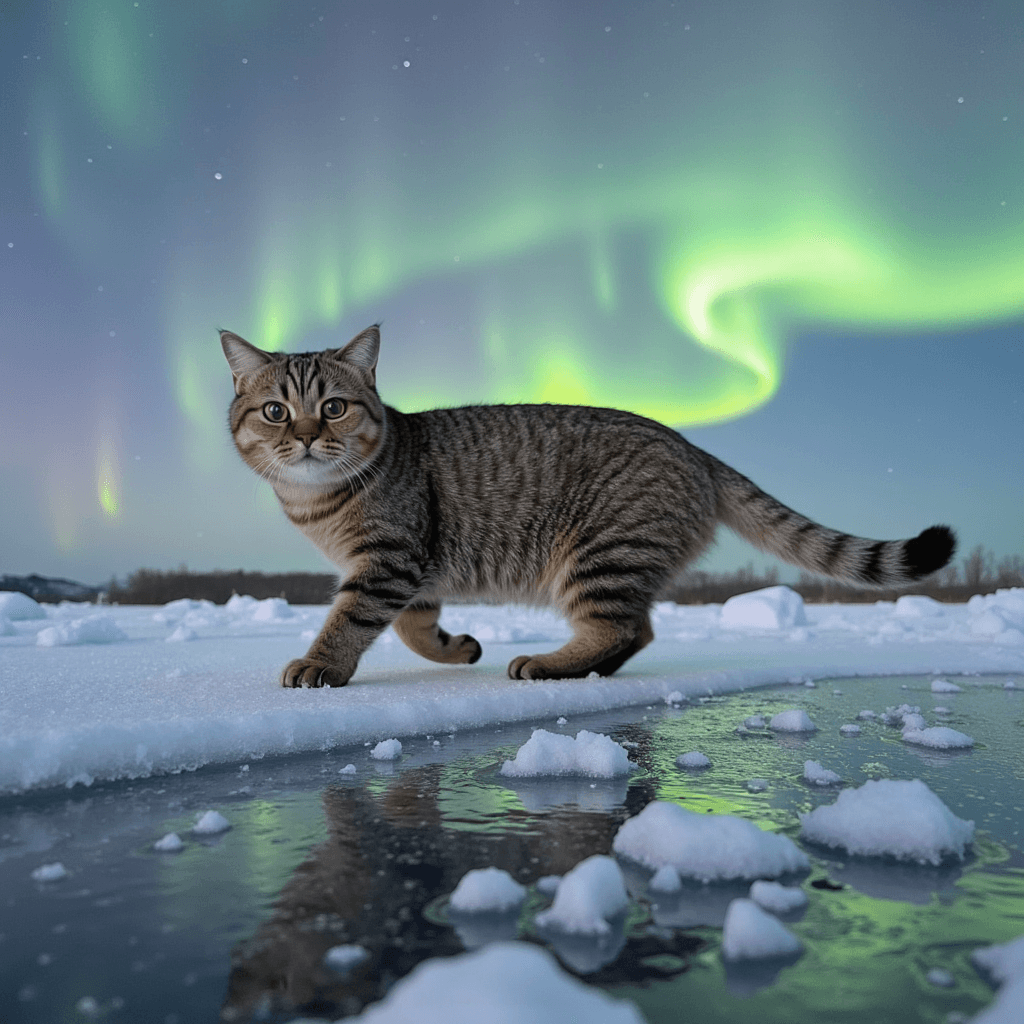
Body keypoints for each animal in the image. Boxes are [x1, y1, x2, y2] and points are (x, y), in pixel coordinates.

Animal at [220, 325, 954, 688]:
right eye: (276, 411)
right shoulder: (412, 572)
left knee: (619, 627)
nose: (305, 436)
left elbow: (351, 620)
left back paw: (549, 663)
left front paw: (320, 666)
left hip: (599, 554)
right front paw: (455, 649)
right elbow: (411, 628)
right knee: (640, 630)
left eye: (334, 407)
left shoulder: (389, 561)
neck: (320, 500)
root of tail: (693, 446)